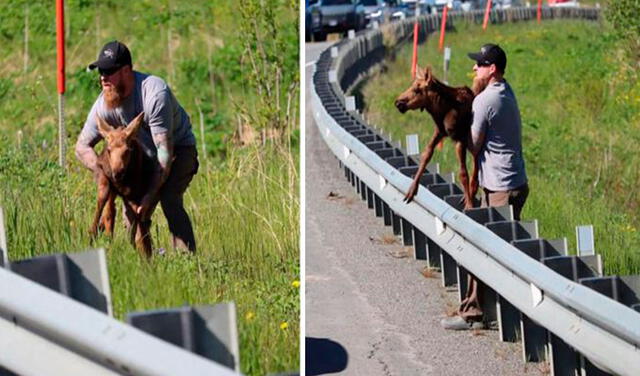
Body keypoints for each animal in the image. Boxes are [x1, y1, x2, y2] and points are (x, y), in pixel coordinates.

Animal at [89, 112, 157, 258]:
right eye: (109, 150)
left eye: (127, 150)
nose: (117, 172)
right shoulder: (106, 181)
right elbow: (103, 208)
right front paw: (93, 237)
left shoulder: (135, 195)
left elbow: (136, 224)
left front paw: (142, 252)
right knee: (109, 211)